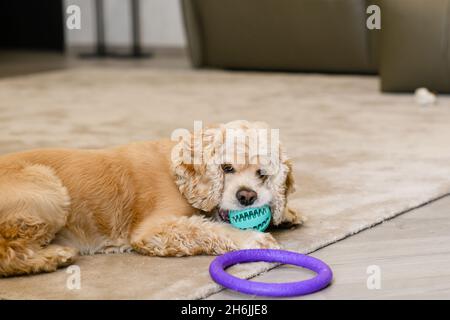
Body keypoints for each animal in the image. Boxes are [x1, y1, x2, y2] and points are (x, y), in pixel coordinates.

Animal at [0, 121, 304, 276]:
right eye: (226, 168)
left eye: (262, 173)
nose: (247, 197)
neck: (180, 175)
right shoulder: (153, 230)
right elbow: (205, 229)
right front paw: (253, 239)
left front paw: (287, 214)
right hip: (47, 189)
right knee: (8, 251)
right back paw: (52, 257)